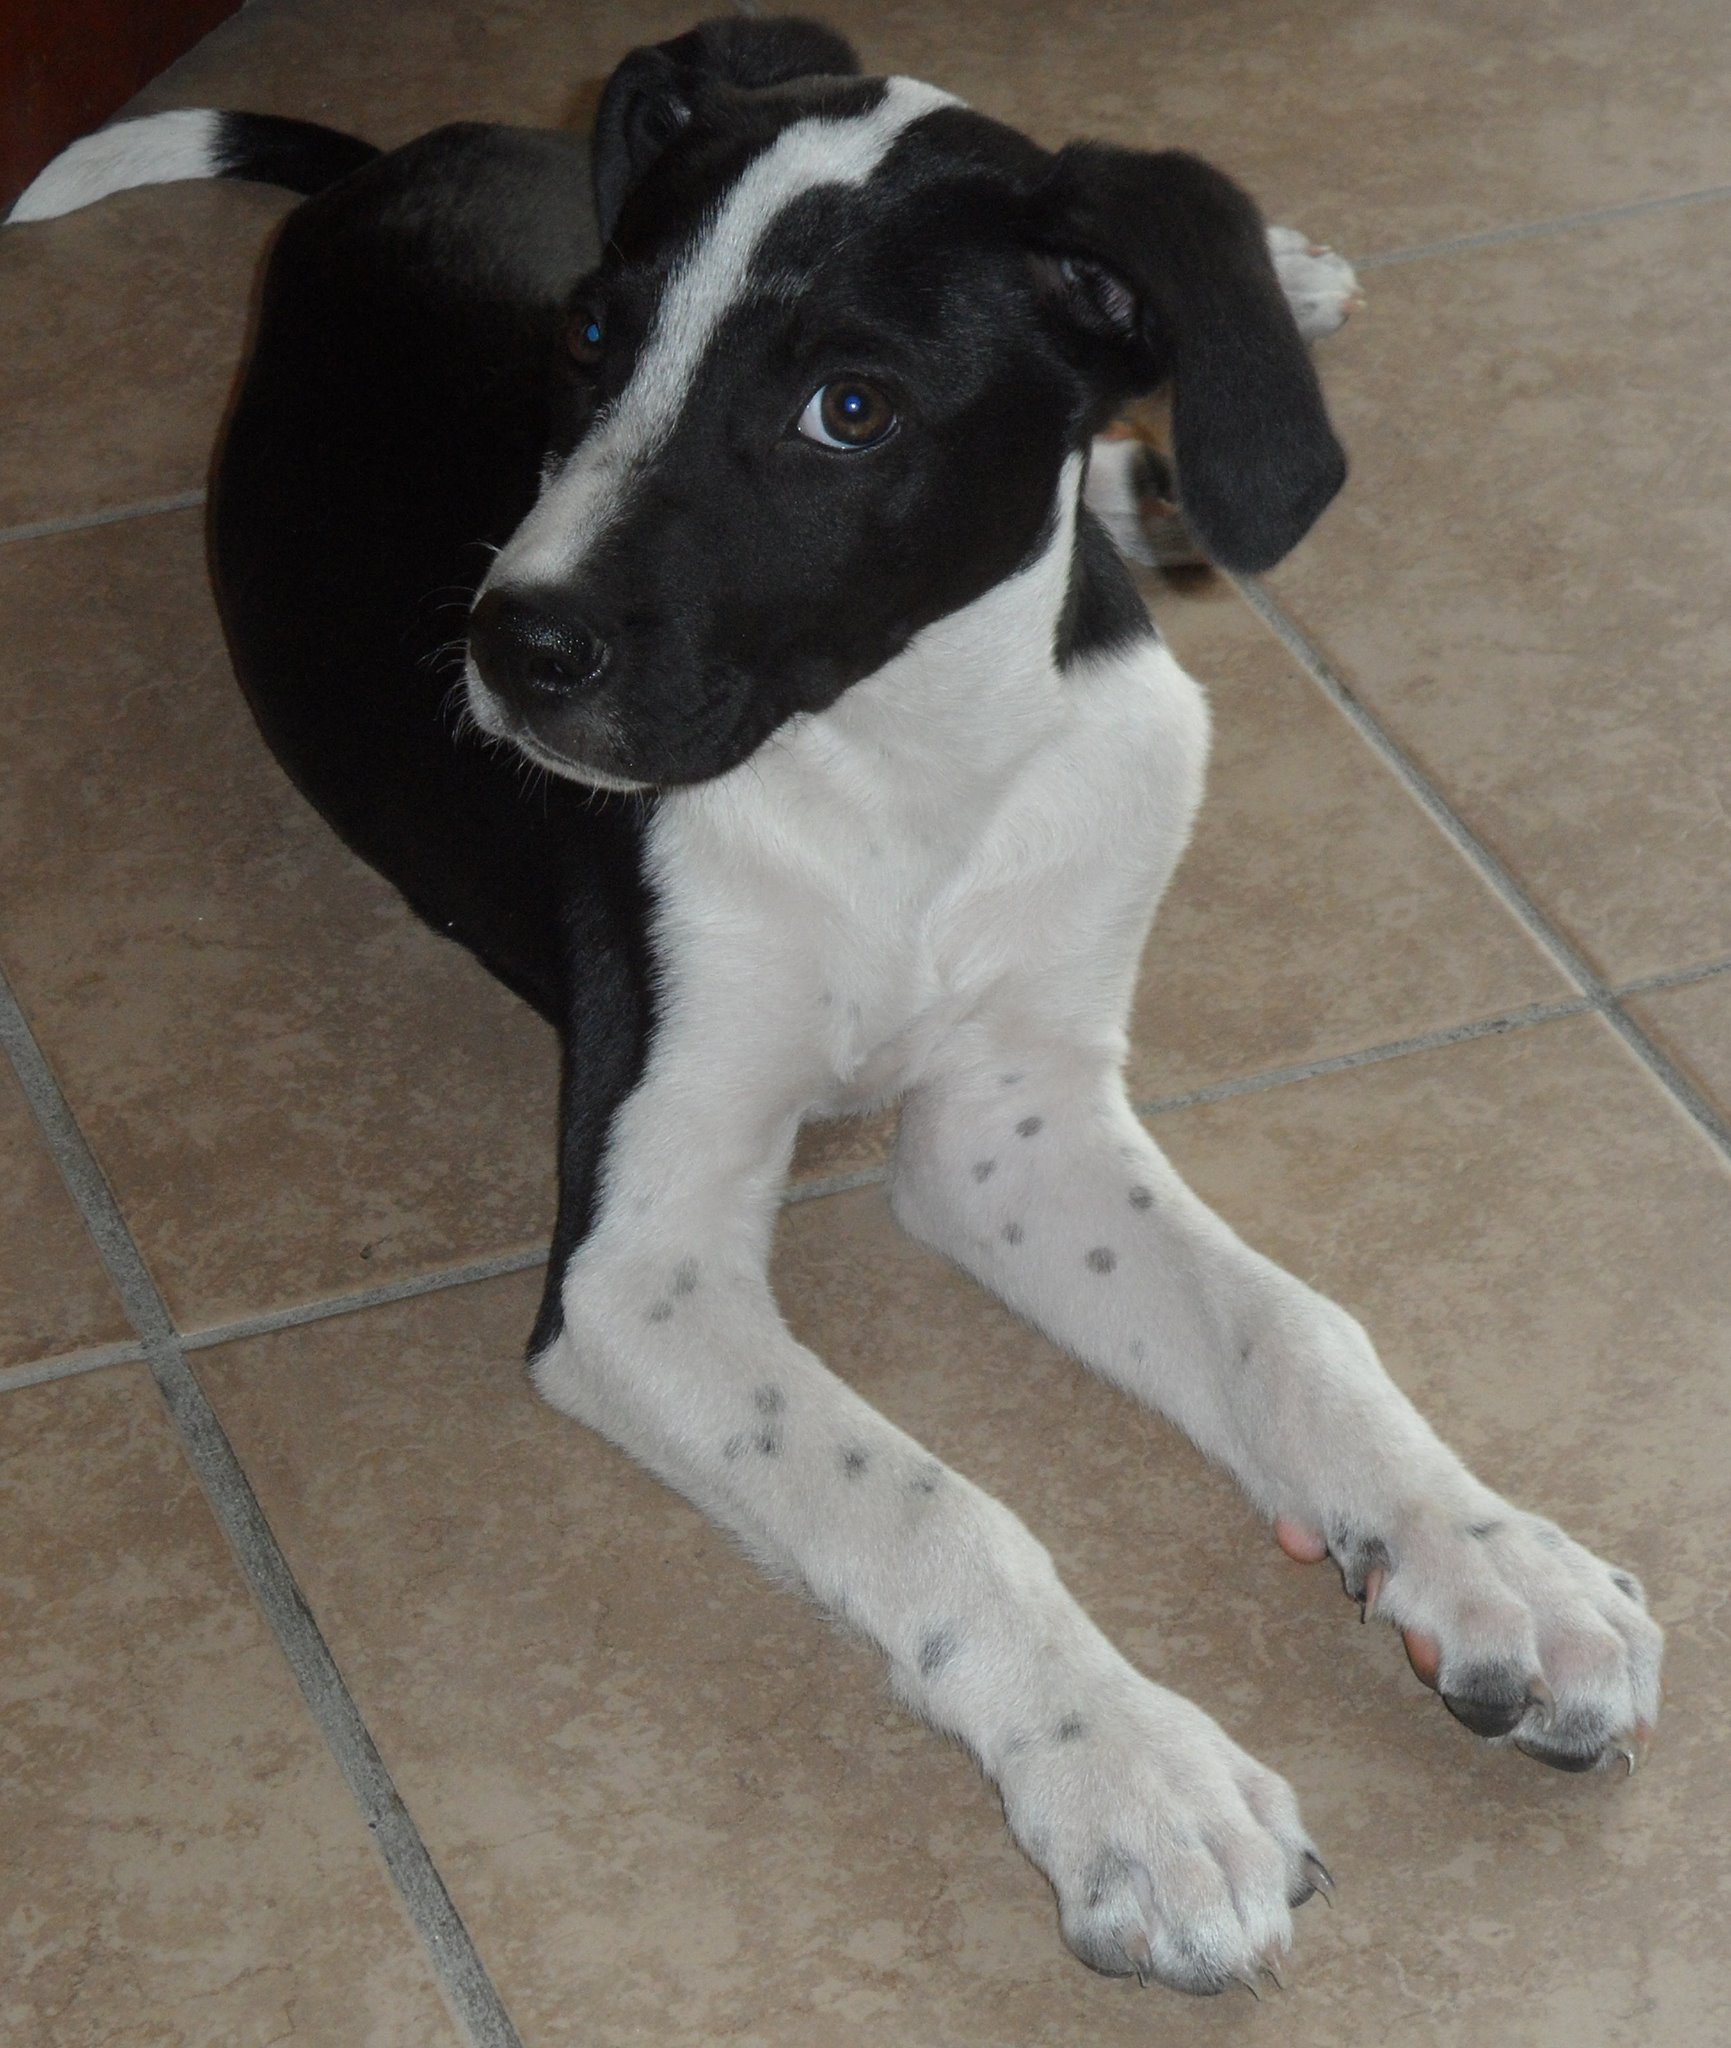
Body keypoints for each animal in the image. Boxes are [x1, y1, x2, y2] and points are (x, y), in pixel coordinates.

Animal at [11, 14, 1662, 1995]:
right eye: (590, 339)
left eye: (850, 411)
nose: (508, 648)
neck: (903, 764)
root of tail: (374, 173)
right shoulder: (644, 1266)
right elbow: (939, 1501)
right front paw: (1138, 1778)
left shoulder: (1018, 1125)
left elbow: (1291, 1328)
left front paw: (1498, 1556)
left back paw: (1227, 370)